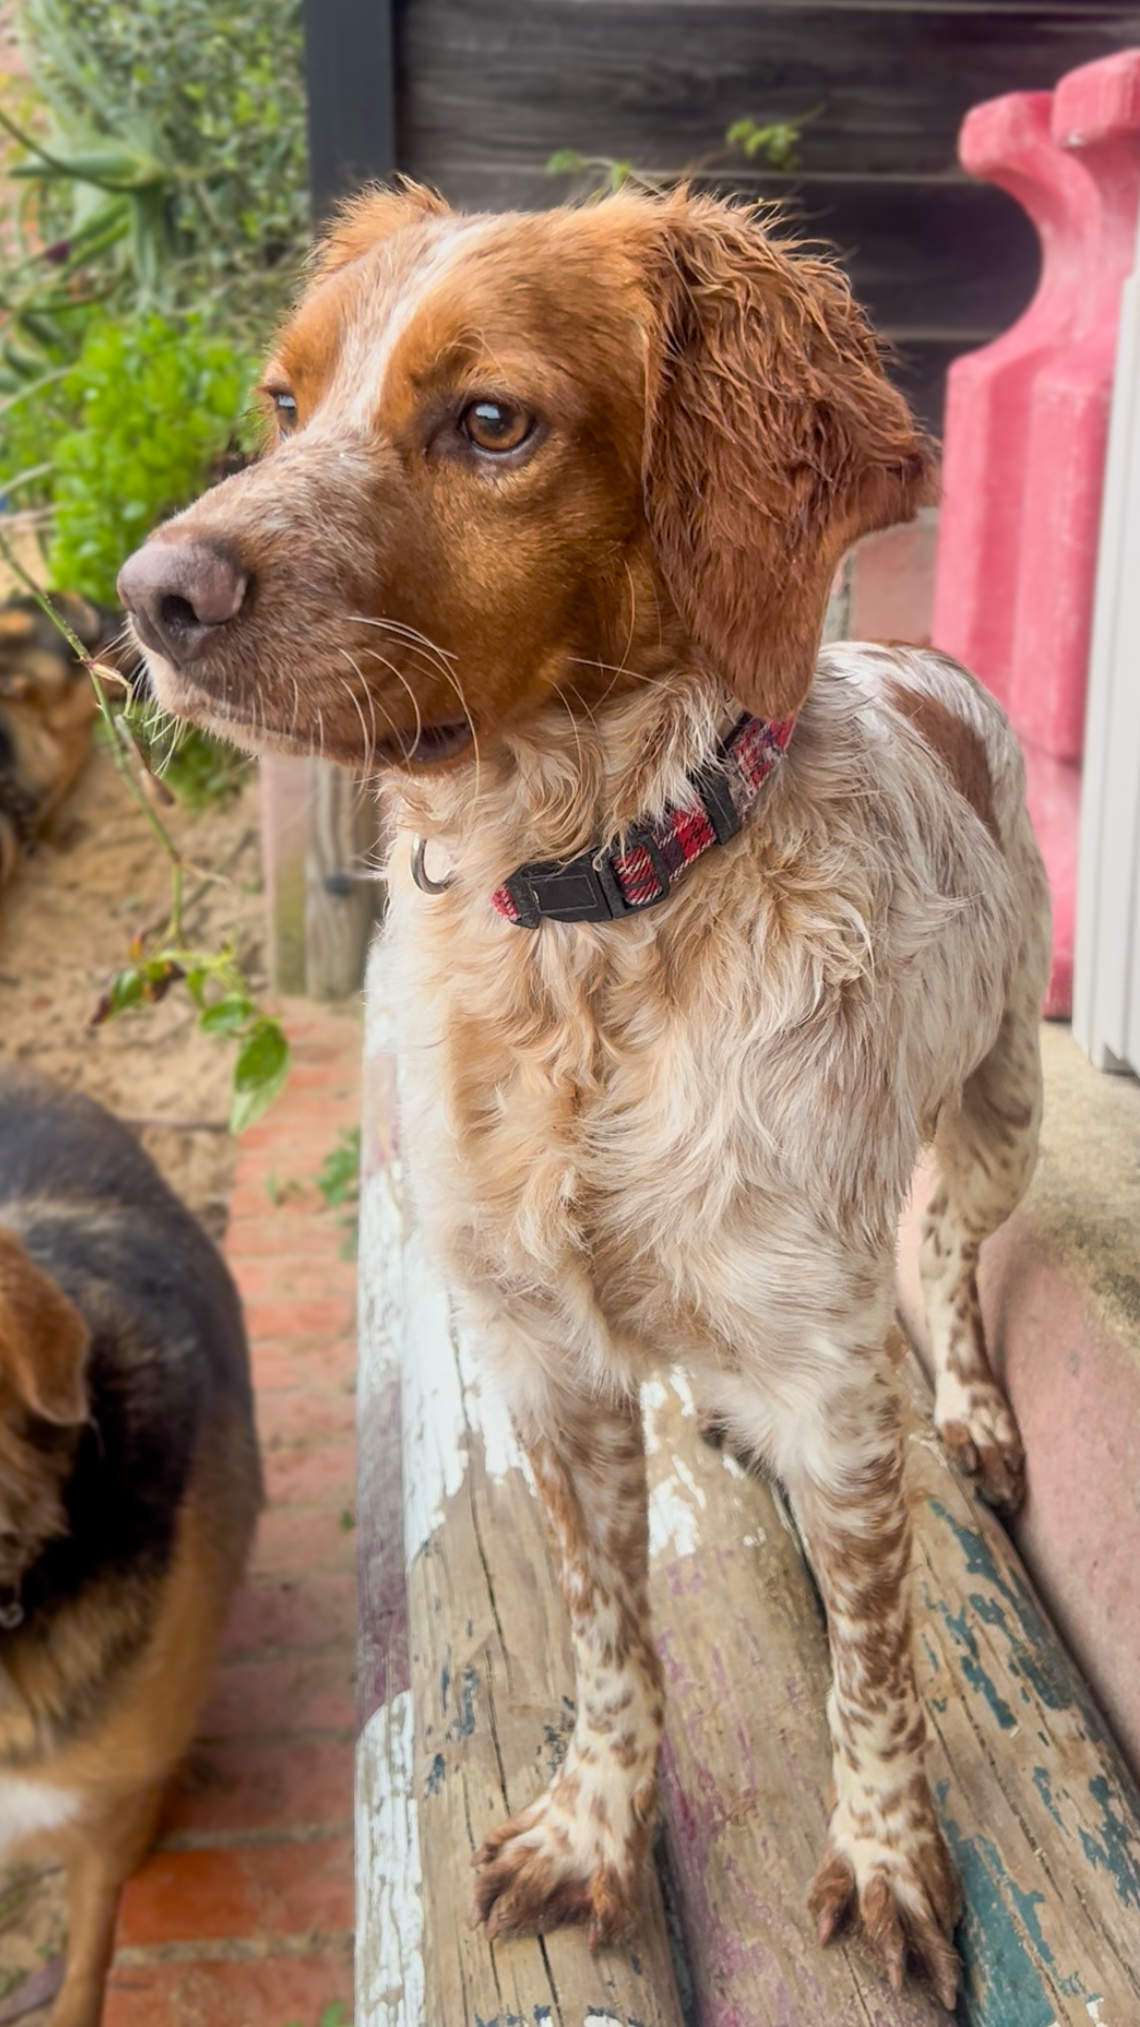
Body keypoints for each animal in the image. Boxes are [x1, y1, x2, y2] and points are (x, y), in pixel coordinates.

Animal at [117, 182, 1051, 2011]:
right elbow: (612, 1639)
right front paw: (592, 1827)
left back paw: (978, 1409)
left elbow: (877, 1664)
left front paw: (888, 1857)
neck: (592, 920)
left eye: (492, 421)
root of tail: (917, 649)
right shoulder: (543, 1361)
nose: (146, 593)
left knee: (955, 1259)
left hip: (1006, 1104)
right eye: (285, 402)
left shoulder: (842, 1385)